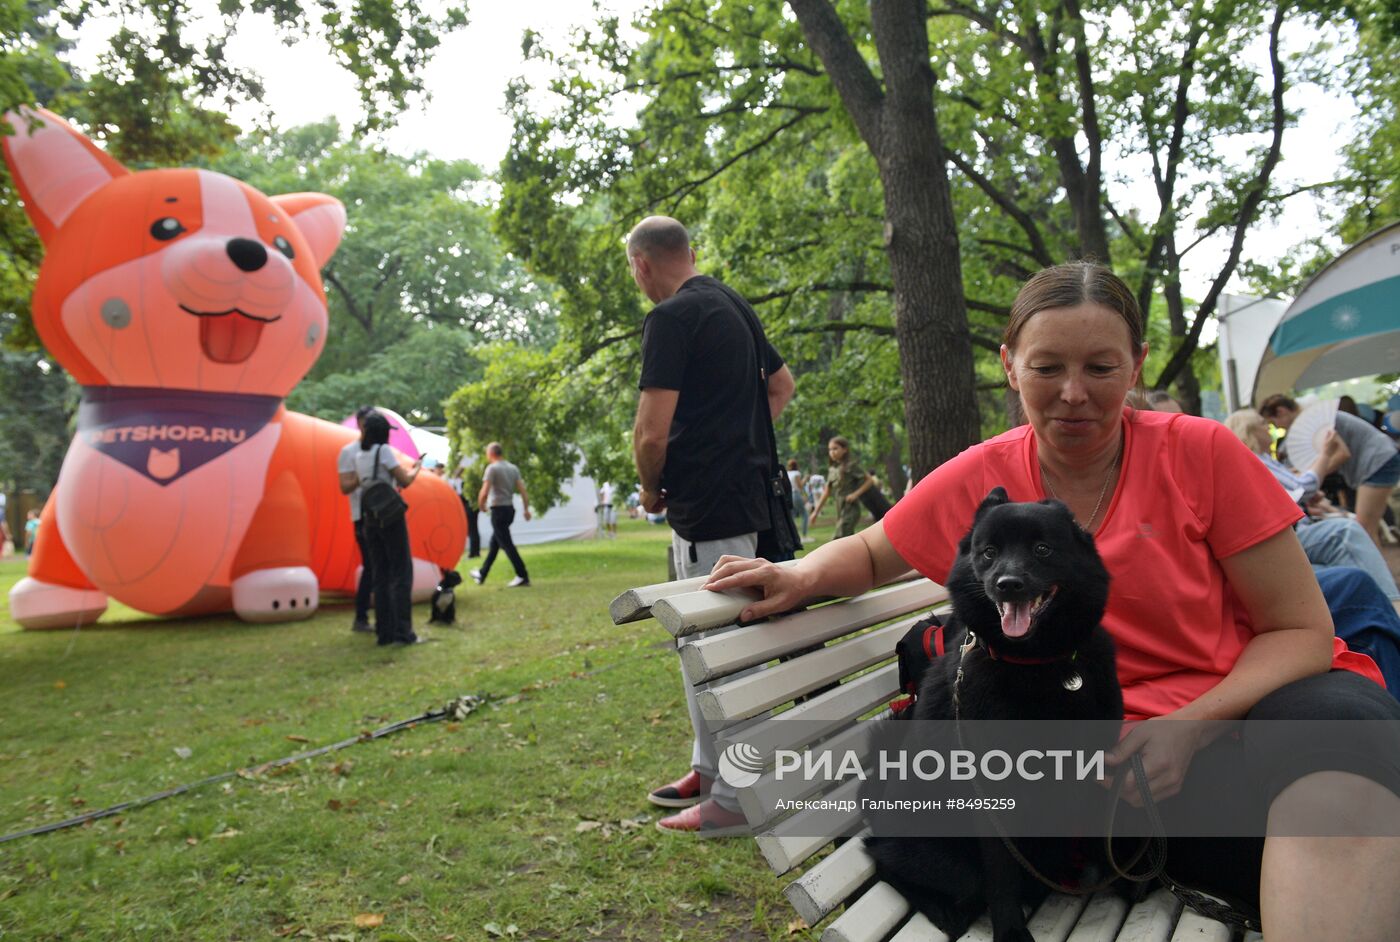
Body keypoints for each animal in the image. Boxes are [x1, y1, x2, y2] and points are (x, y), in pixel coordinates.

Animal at [862, 484, 1125, 940]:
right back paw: (941, 907)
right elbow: (1001, 874)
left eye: (1042, 548)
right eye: (988, 552)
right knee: (885, 862)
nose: (1008, 584)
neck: (1038, 664)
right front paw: (1012, 931)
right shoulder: (991, 794)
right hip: (946, 862)